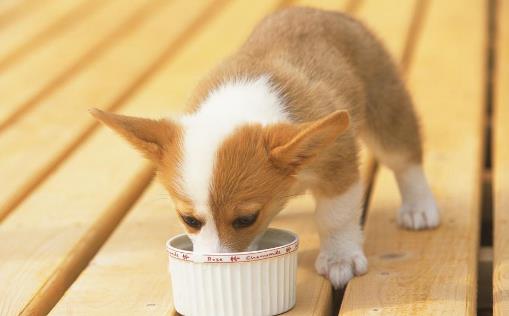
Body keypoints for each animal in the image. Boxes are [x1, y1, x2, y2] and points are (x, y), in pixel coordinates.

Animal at [90, 7, 436, 288]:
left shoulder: (338, 166)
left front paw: (340, 258)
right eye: (189, 220)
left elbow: (335, 216)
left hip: (385, 109)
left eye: (246, 219)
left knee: (405, 159)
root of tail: (320, 12)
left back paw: (418, 207)